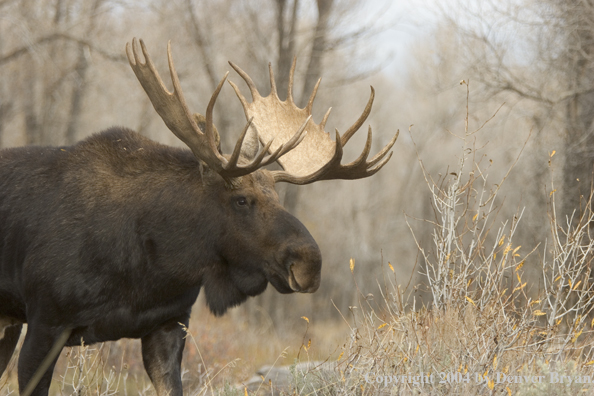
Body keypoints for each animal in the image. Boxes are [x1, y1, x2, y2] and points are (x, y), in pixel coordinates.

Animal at [0, 38, 398, 396]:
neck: (151, 267)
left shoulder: (168, 324)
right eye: (241, 200)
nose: (309, 262)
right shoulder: (46, 323)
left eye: (277, 196)